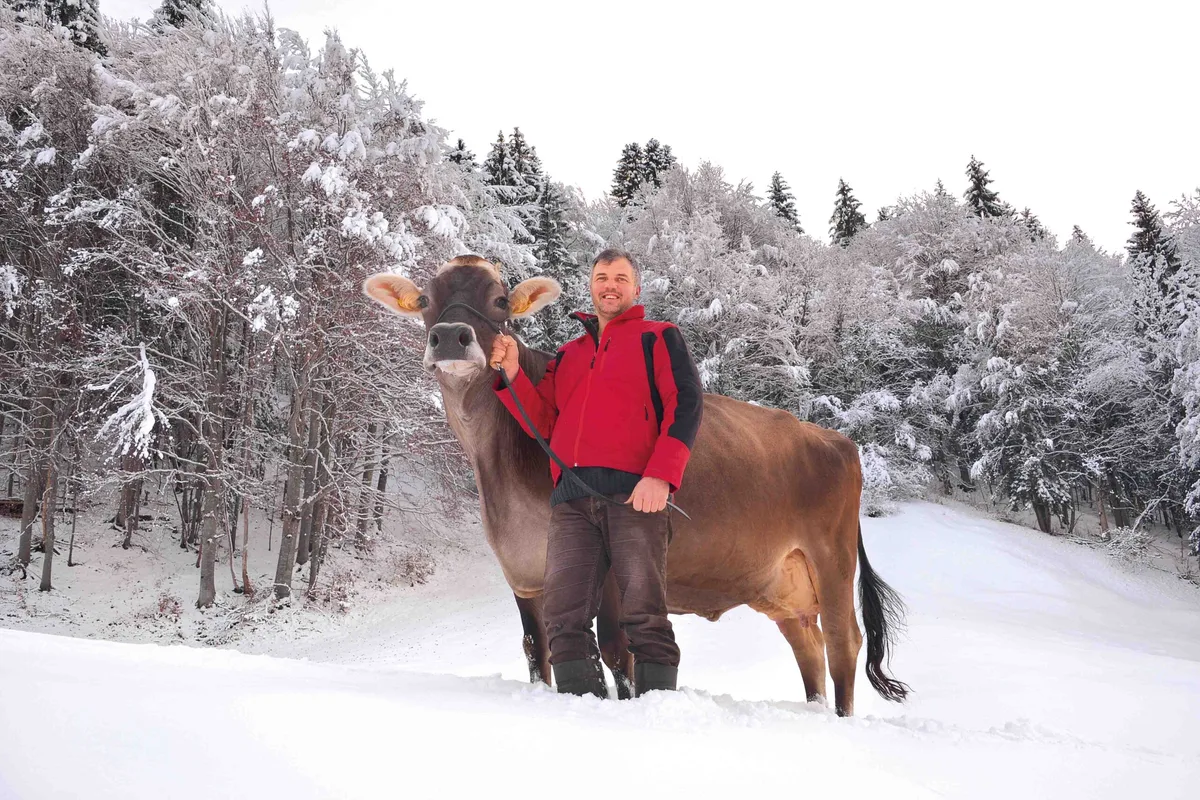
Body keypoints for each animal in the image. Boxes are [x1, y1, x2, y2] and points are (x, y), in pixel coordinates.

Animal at [364, 254, 909, 716]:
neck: (497, 467)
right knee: (807, 643)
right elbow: (537, 650)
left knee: (842, 639)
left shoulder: (607, 573)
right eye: (425, 299)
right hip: (782, 582)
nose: (450, 336)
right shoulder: (522, 572)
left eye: (499, 301)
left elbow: (615, 650)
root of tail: (836, 439)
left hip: (830, 555)